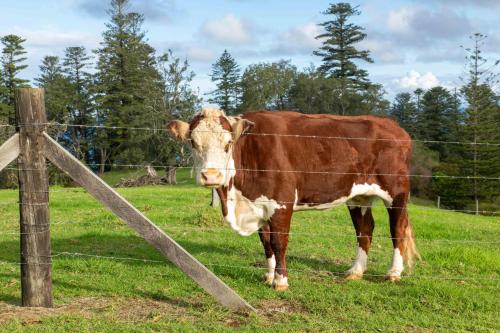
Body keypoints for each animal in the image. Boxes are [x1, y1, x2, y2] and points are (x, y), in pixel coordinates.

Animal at [168, 107, 418, 290]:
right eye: (193, 142)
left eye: (228, 144)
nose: (211, 175)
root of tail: (394, 126)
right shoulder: (260, 205)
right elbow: (266, 242)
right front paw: (269, 275)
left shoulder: (281, 203)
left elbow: (279, 242)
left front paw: (281, 281)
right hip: (359, 196)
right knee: (365, 229)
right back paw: (355, 271)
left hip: (396, 192)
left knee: (397, 230)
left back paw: (393, 273)